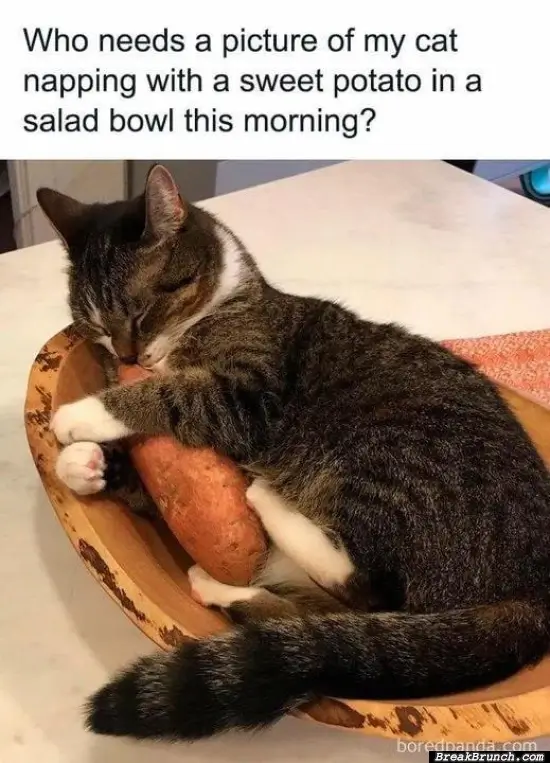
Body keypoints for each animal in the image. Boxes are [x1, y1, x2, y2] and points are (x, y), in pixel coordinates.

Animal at [36, 164, 550, 744]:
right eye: (97, 328)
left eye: (142, 313)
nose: (127, 356)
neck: (225, 303)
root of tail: (535, 588)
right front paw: (84, 464)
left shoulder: (249, 399)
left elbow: (174, 395)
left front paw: (82, 415)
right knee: (324, 619)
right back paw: (219, 586)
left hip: (390, 460)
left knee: (366, 588)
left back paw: (266, 503)